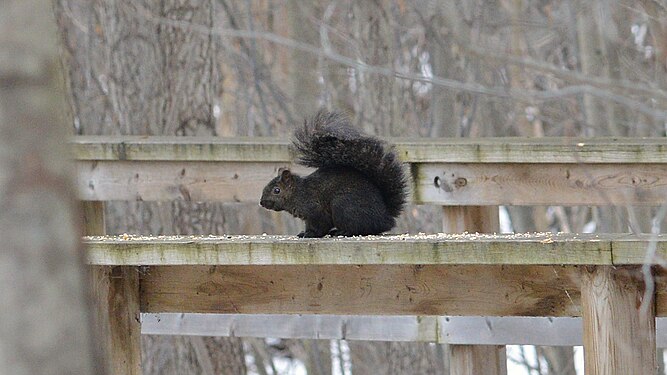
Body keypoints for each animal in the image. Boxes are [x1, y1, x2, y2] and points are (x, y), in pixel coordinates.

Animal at [260, 110, 408, 238]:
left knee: (359, 228)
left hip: (342, 206)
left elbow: (320, 225)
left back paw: (342, 231)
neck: (298, 193)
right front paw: (304, 232)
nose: (262, 203)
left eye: (276, 190)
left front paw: (310, 234)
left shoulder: (315, 210)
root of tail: (385, 217)